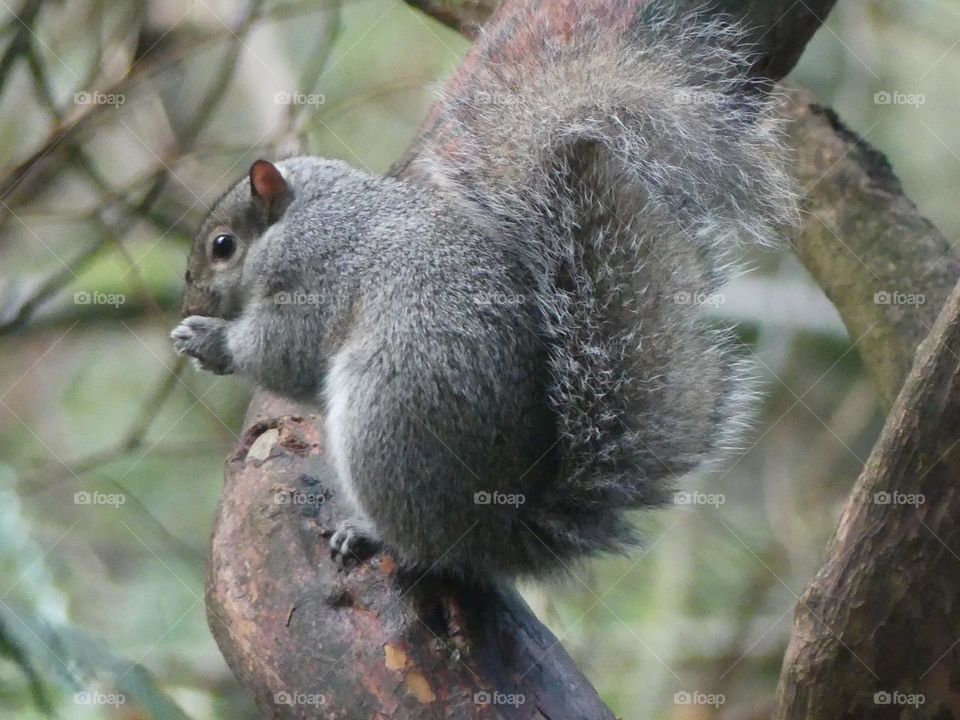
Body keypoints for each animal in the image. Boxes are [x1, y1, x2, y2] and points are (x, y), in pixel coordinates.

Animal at [171, 1, 796, 583]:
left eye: (223, 246)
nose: (190, 304)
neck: (310, 213)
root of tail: (501, 529)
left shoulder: (318, 279)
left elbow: (286, 354)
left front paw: (208, 341)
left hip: (386, 421)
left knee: (423, 545)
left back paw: (372, 532)